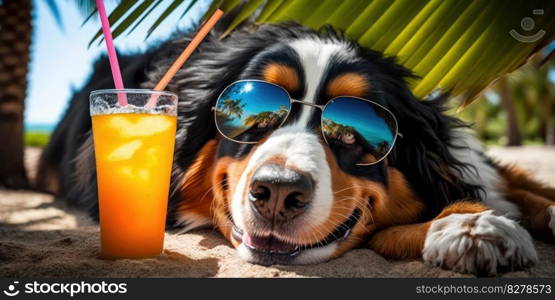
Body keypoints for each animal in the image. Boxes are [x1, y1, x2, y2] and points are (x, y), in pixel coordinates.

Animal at [37, 21, 552, 276]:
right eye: (255, 113)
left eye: (353, 132)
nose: (279, 192)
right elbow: (386, 233)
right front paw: (468, 226)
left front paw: (470, 223)